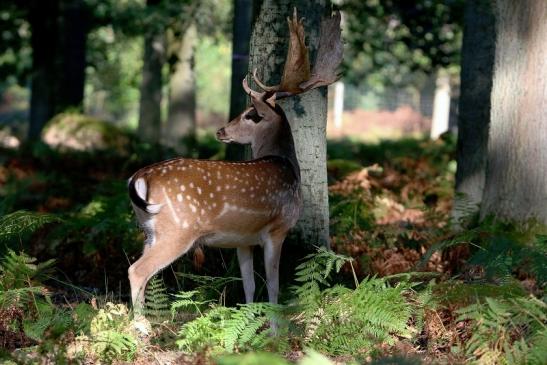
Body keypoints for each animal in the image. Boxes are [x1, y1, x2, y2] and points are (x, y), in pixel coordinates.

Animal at [128, 9, 342, 310]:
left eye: (251, 114)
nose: (221, 130)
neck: (287, 165)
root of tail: (139, 177)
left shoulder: (244, 239)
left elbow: (249, 285)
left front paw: (250, 315)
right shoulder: (277, 228)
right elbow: (274, 285)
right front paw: (274, 321)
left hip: (149, 229)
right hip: (178, 229)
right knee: (137, 271)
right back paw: (141, 322)